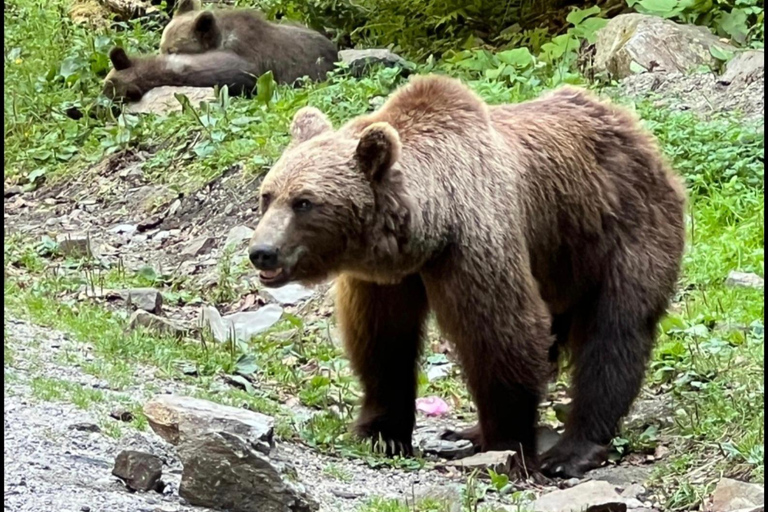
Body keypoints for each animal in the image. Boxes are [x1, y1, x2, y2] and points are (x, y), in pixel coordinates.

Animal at [247, 75, 687, 478]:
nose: (261, 251)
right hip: (561, 260)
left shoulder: (474, 244)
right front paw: (381, 432)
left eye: (304, 202)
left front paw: (509, 445)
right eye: (268, 195)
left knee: (613, 333)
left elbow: (503, 334)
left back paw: (572, 450)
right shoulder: (383, 280)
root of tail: (636, 130)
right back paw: (466, 432)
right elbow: (381, 343)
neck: (427, 230)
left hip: (623, 233)